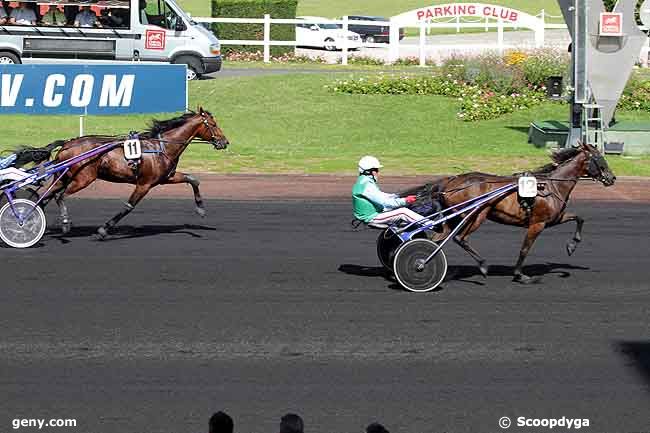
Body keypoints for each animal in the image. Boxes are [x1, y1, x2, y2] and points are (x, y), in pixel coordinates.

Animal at [20, 106, 227, 238]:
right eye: (213, 124)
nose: (225, 142)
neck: (161, 147)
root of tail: (67, 144)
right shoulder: (144, 184)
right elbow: (129, 206)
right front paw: (104, 230)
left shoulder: (165, 178)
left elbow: (193, 179)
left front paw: (200, 208)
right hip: (83, 179)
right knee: (59, 196)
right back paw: (63, 222)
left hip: (64, 177)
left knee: (46, 196)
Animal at [408, 143, 616, 284]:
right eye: (599, 158)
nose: (612, 178)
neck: (552, 186)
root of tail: (449, 182)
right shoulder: (537, 223)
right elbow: (525, 248)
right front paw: (520, 275)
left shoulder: (554, 219)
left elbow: (579, 218)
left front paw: (571, 246)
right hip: (477, 214)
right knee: (460, 238)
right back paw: (482, 266)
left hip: (457, 217)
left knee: (437, 239)